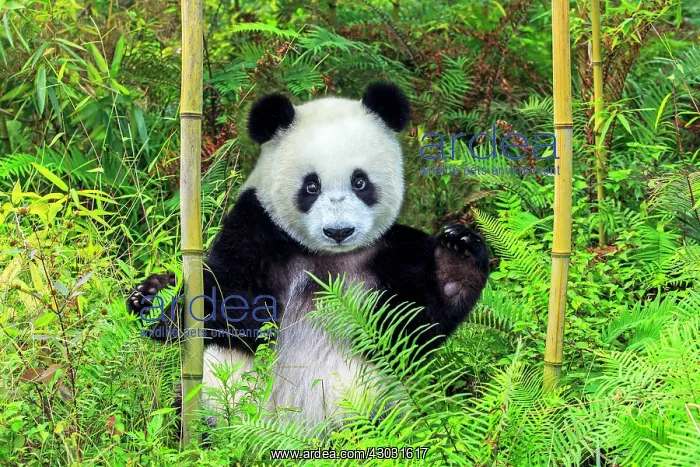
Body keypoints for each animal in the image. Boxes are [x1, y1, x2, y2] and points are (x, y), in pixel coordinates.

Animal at [127, 82, 490, 427]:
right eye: (311, 186)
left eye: (360, 182)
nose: (339, 231)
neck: (325, 256)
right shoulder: (256, 227)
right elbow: (231, 304)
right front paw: (156, 300)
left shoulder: (388, 255)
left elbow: (413, 327)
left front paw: (457, 256)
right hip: (218, 398)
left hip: (372, 401)